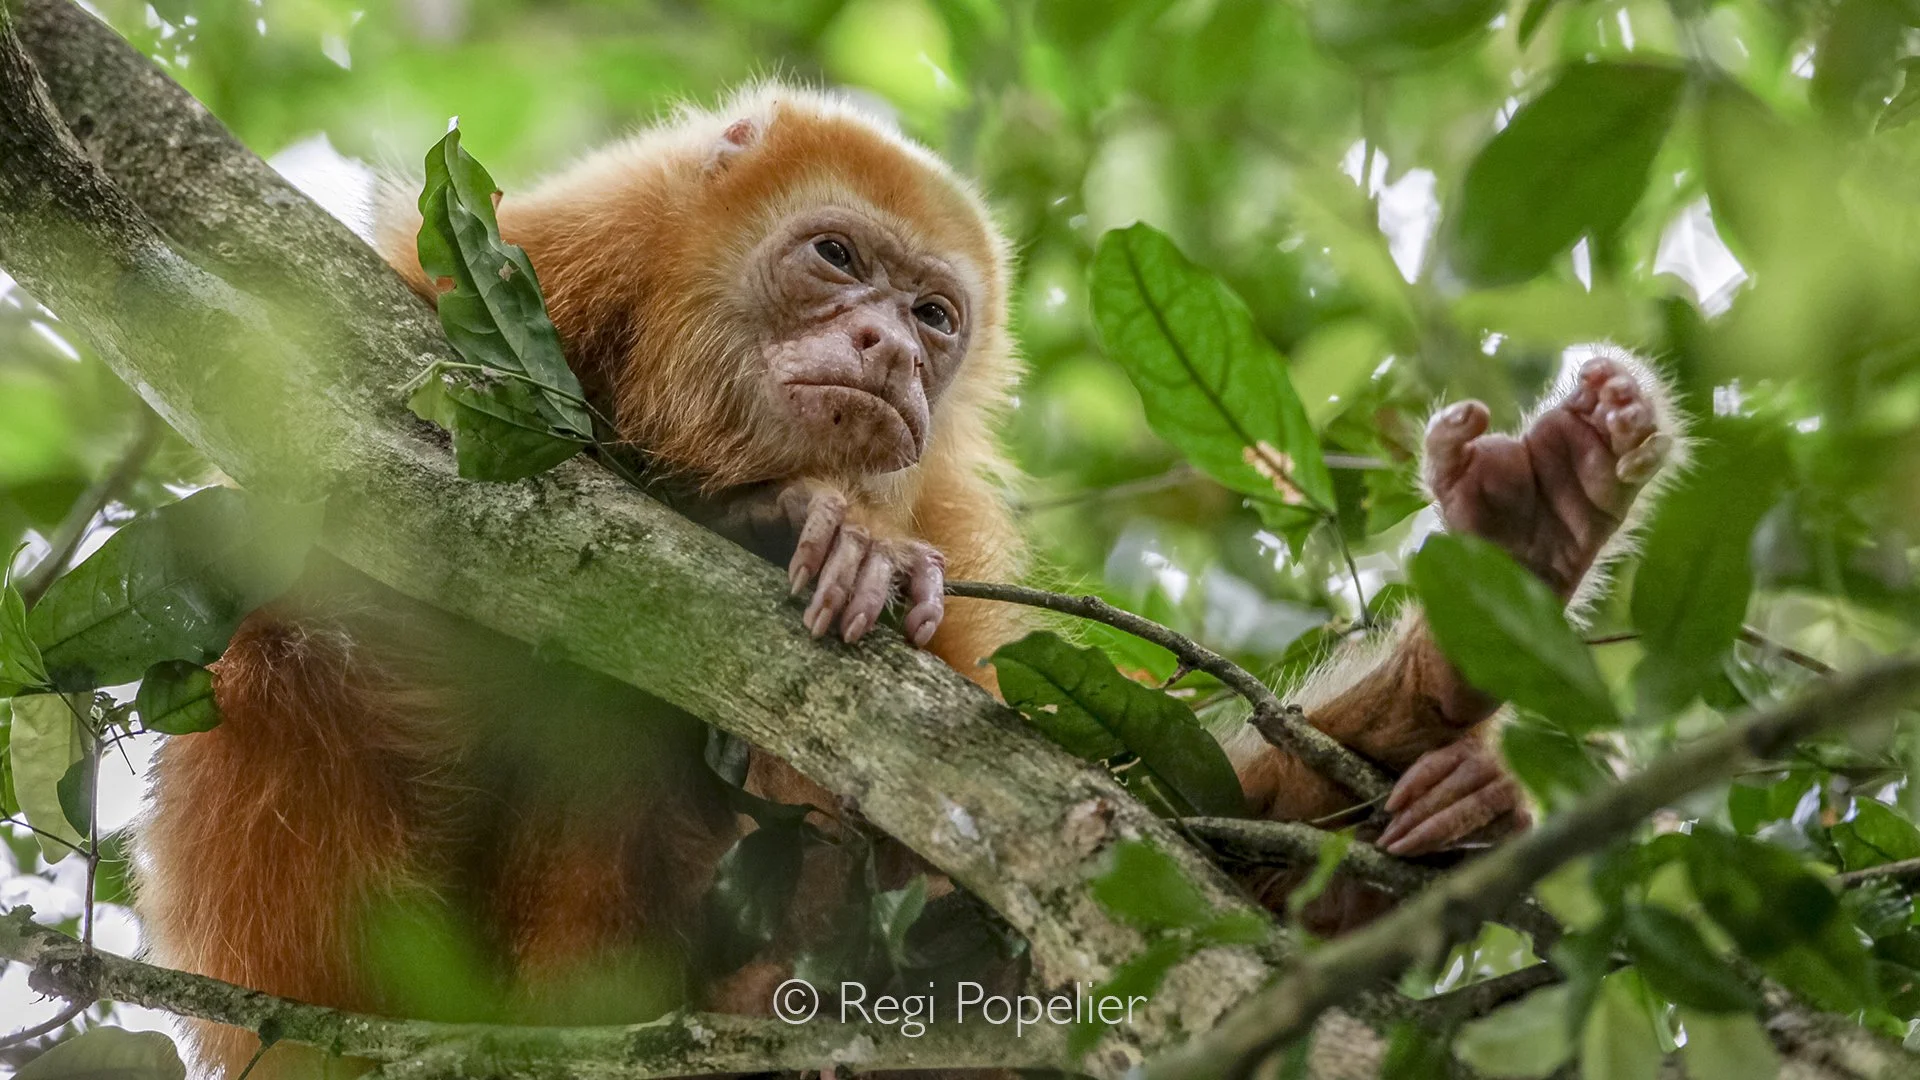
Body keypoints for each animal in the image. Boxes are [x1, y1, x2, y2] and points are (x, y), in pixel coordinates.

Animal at [128, 83, 1678, 1079]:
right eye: (835, 258)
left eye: (935, 315)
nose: (885, 346)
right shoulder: (508, 279)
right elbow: (347, 513)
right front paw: (772, 517)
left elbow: (1055, 872)